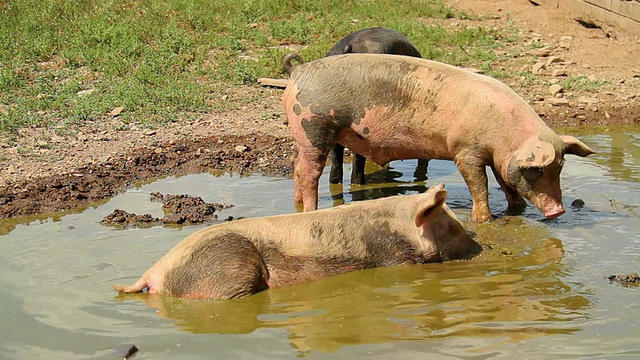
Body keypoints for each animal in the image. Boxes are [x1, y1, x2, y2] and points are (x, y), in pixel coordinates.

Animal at [114, 184, 480, 300]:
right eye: (450, 226)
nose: (482, 250)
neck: (400, 225)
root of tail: (154, 271)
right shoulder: (394, 259)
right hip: (228, 266)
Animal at [284, 53, 596, 222]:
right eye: (537, 170)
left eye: (559, 168)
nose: (558, 211)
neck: (506, 136)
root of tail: (298, 70)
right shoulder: (465, 150)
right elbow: (479, 184)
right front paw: (484, 219)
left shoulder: (500, 158)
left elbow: (505, 181)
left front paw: (516, 209)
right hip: (315, 128)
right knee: (310, 172)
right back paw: (309, 210)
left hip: (301, 135)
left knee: (297, 168)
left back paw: (297, 205)